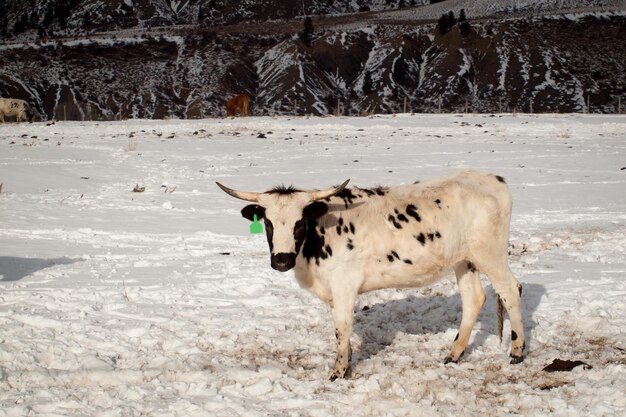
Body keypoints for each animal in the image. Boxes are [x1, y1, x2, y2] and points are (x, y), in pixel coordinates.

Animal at [217, 171, 524, 378]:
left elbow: (341, 327)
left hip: (491, 254)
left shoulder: (344, 285)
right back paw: (454, 354)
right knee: (474, 299)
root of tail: (490, 178)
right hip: (464, 260)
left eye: (299, 222)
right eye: (267, 223)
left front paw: (338, 372)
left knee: (511, 290)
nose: (281, 260)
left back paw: (517, 352)